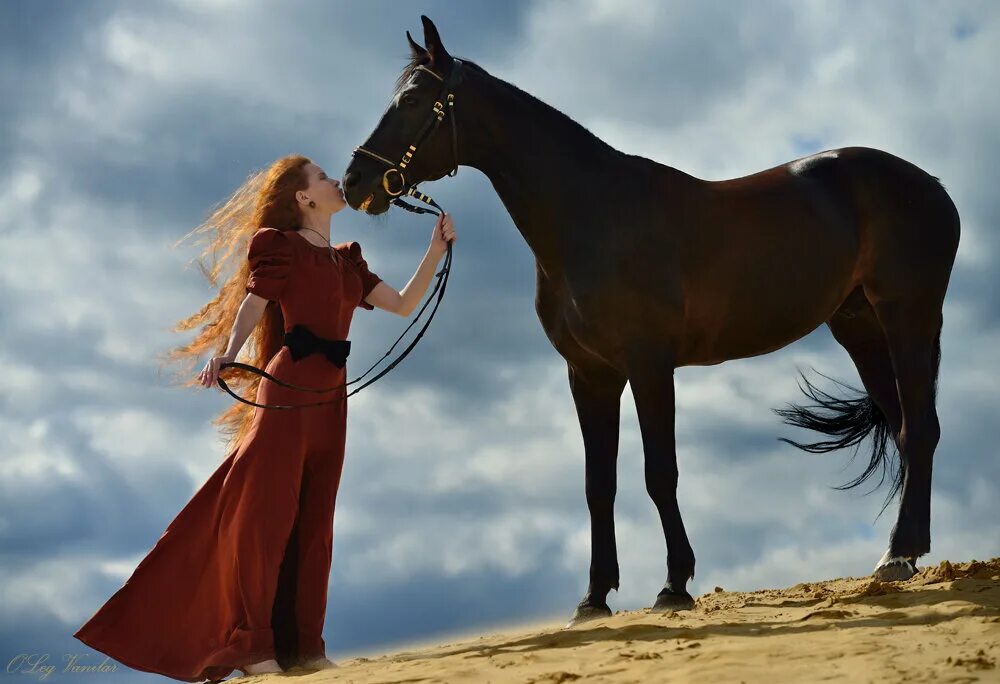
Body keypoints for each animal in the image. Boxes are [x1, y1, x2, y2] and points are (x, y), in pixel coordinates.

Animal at [343, 15, 961, 626]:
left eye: (414, 99)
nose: (354, 183)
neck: (591, 216)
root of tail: (931, 185)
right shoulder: (589, 375)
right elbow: (599, 485)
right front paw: (594, 597)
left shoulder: (649, 365)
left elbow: (659, 473)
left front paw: (674, 585)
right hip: (859, 328)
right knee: (907, 428)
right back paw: (905, 553)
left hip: (908, 315)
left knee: (921, 428)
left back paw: (898, 554)